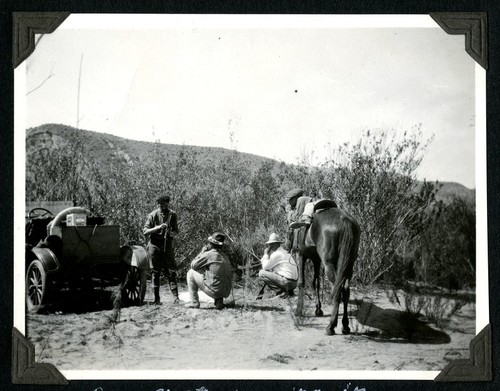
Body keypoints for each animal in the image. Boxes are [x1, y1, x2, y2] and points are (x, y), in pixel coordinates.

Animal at [292, 204, 360, 336]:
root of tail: (345, 221)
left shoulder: (301, 255)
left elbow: (301, 282)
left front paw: (298, 310)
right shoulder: (316, 259)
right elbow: (316, 282)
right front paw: (318, 309)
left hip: (329, 263)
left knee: (337, 290)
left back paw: (331, 326)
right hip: (348, 263)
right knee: (346, 289)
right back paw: (345, 326)